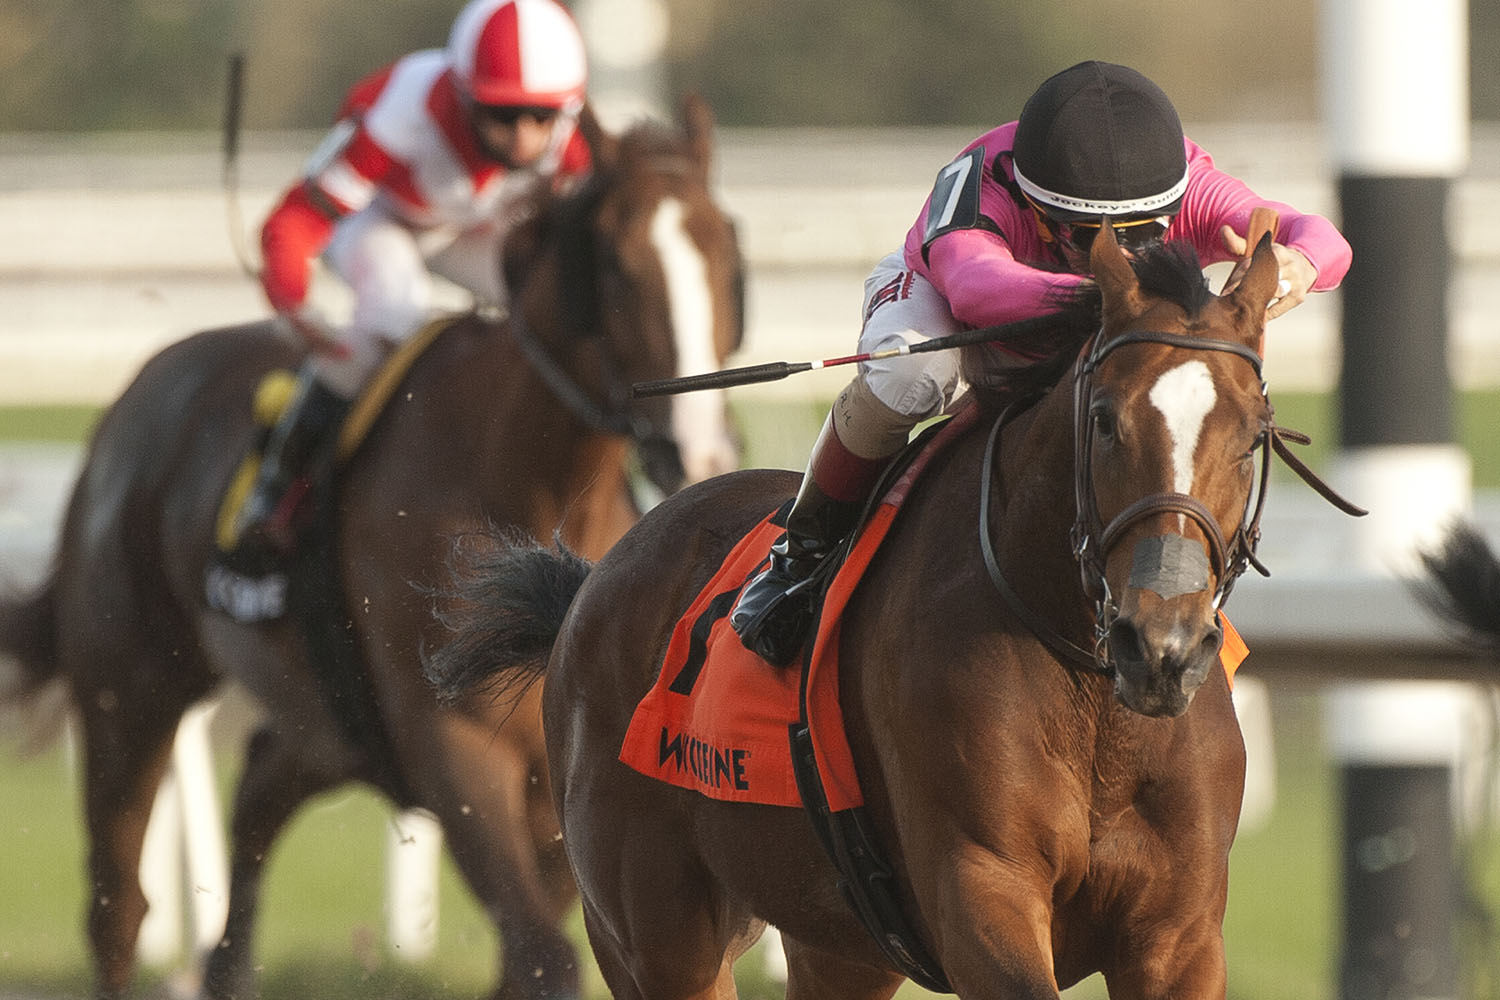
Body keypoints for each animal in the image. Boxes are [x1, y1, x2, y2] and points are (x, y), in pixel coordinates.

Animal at [0, 95, 744, 1000]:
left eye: (726, 252)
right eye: (613, 261)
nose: (700, 448)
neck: (519, 474)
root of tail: (133, 399)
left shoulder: (570, 784)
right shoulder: (453, 747)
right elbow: (543, 956)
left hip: (324, 719)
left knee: (257, 789)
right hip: (129, 685)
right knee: (117, 904)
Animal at [423, 226, 1362, 1000]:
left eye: (1252, 432)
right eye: (1104, 421)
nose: (1159, 646)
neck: (1093, 697)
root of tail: (592, 582)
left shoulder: (1177, 931)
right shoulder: (980, 894)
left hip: (838, 944)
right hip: (653, 934)